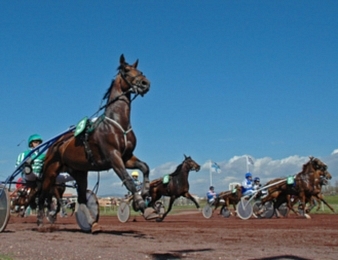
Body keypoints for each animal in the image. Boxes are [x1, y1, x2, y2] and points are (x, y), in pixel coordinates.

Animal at [37, 54, 152, 232]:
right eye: (126, 70)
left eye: (140, 71)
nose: (145, 83)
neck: (117, 123)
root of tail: (54, 145)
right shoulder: (113, 156)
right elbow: (128, 179)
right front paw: (140, 203)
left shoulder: (126, 157)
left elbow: (144, 167)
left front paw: (145, 192)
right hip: (51, 171)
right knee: (42, 195)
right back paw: (41, 222)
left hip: (79, 171)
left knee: (82, 198)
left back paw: (92, 223)